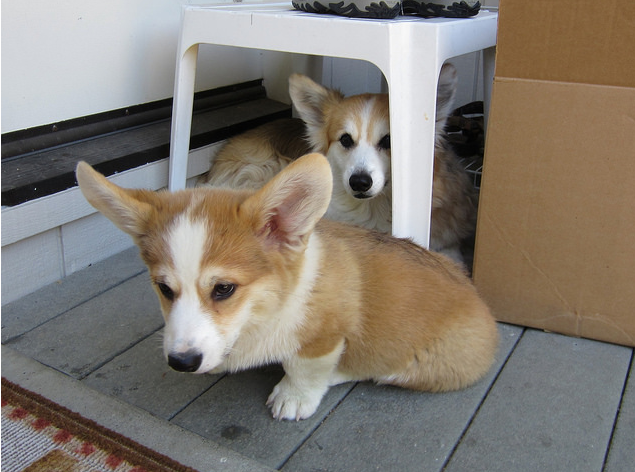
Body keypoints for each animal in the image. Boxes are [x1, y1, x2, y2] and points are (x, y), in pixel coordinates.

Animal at [77, 152, 500, 420]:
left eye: (224, 289)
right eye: (164, 289)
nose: (182, 363)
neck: (267, 306)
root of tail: (480, 300)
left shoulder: (323, 337)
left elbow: (306, 368)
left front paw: (294, 398)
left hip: (415, 365)